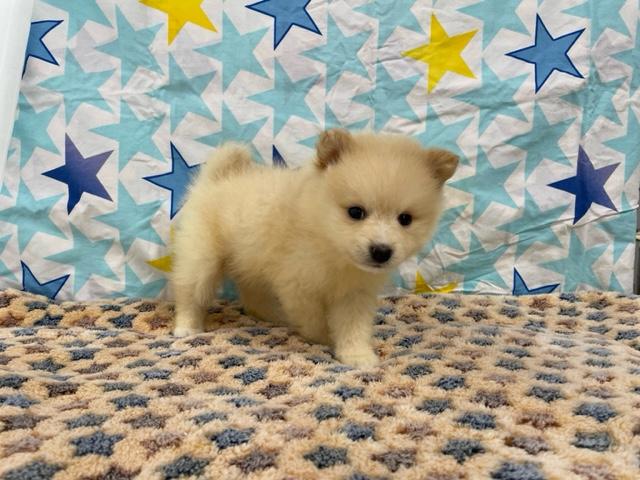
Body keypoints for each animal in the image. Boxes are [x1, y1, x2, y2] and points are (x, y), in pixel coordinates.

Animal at [171, 129, 458, 367]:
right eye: (356, 212)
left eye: (405, 219)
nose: (381, 251)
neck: (332, 248)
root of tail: (217, 178)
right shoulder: (298, 286)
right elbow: (314, 319)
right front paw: (325, 338)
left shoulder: (354, 294)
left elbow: (353, 327)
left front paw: (357, 354)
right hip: (203, 256)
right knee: (190, 291)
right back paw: (186, 327)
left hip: (250, 260)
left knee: (252, 295)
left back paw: (272, 315)